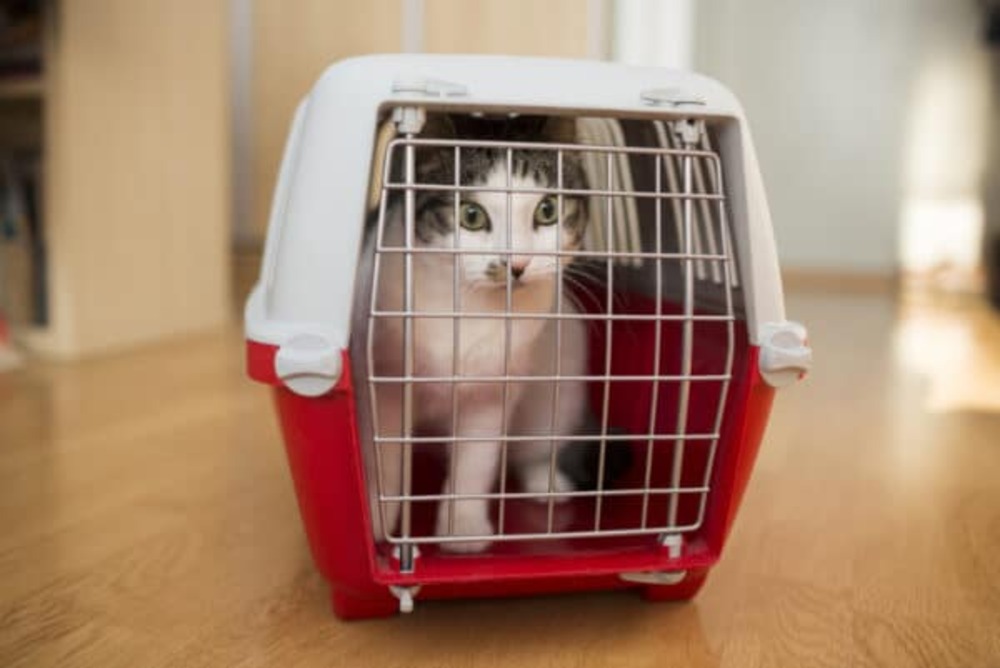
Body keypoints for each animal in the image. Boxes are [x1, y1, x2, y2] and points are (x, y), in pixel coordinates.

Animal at [364, 115, 620, 552]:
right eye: (471, 215)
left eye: (547, 210)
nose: (516, 264)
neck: (469, 309)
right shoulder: (386, 385)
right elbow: (387, 458)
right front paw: (380, 522)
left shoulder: (493, 388)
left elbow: (475, 460)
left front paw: (462, 529)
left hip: (561, 372)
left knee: (536, 445)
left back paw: (547, 482)